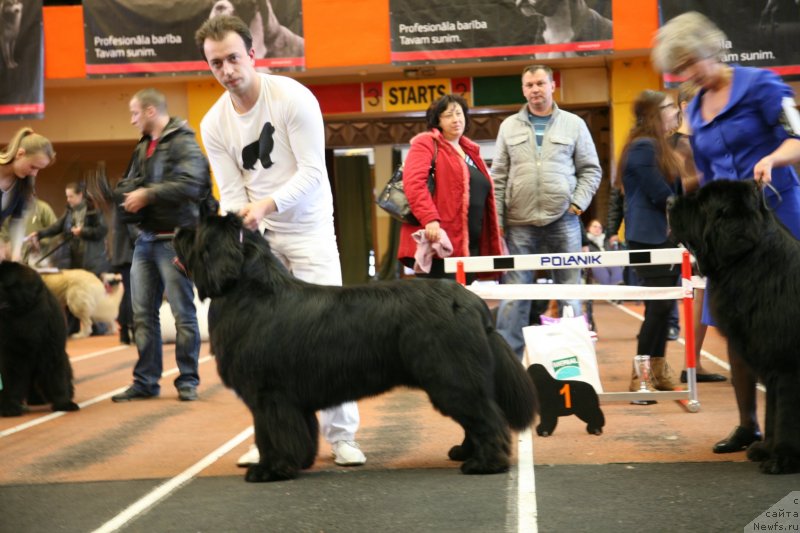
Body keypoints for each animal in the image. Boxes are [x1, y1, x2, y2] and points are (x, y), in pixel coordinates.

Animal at [0, 260, 79, 416]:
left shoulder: (52, 350)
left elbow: (57, 378)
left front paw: (64, 403)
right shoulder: (13, 355)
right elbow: (12, 381)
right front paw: (10, 407)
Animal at [175, 213, 536, 482]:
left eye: (198, 229)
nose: (176, 229)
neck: (249, 291)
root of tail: (471, 301)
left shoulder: (269, 396)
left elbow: (271, 434)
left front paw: (269, 470)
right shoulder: (291, 400)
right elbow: (299, 433)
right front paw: (298, 462)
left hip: (451, 376)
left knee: (487, 417)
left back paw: (484, 463)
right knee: (477, 417)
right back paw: (466, 452)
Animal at [668, 180, 800, 474]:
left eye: (702, 203)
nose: (669, 201)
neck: (752, 262)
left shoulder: (786, 365)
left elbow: (786, 414)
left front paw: (782, 458)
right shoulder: (768, 362)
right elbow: (772, 411)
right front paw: (765, 449)